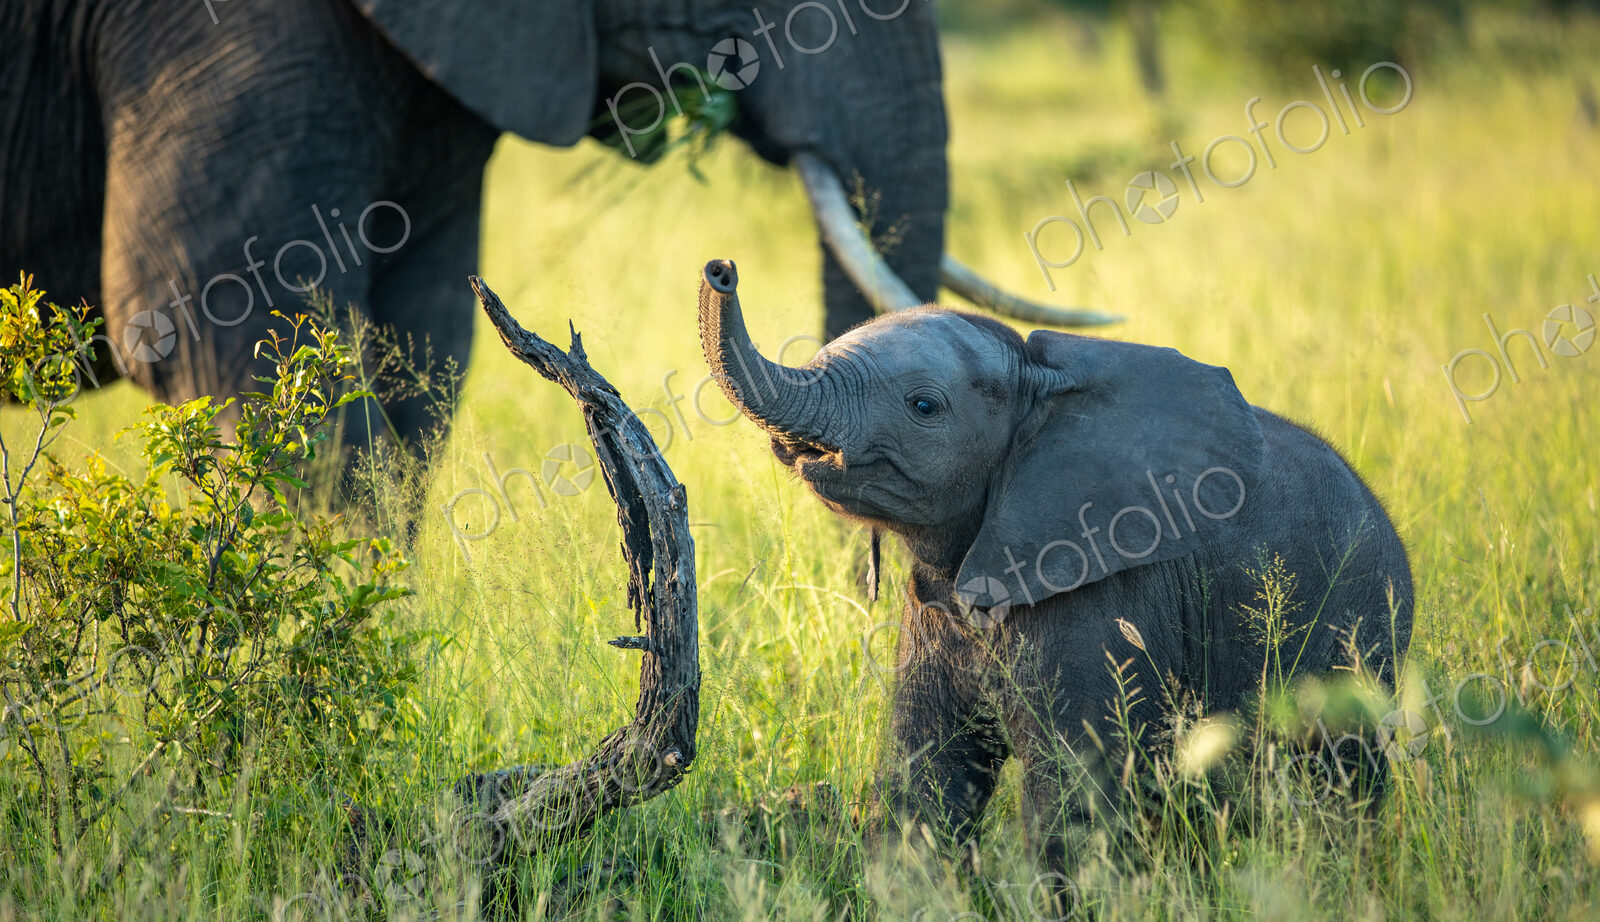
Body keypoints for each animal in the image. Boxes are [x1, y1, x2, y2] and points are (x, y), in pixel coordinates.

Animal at [696, 259, 1413, 875]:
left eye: (924, 407)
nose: (722, 270)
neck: (1039, 385)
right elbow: (924, 777)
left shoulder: (1104, 590)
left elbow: (1073, 796)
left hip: (1358, 638)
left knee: (1338, 783)